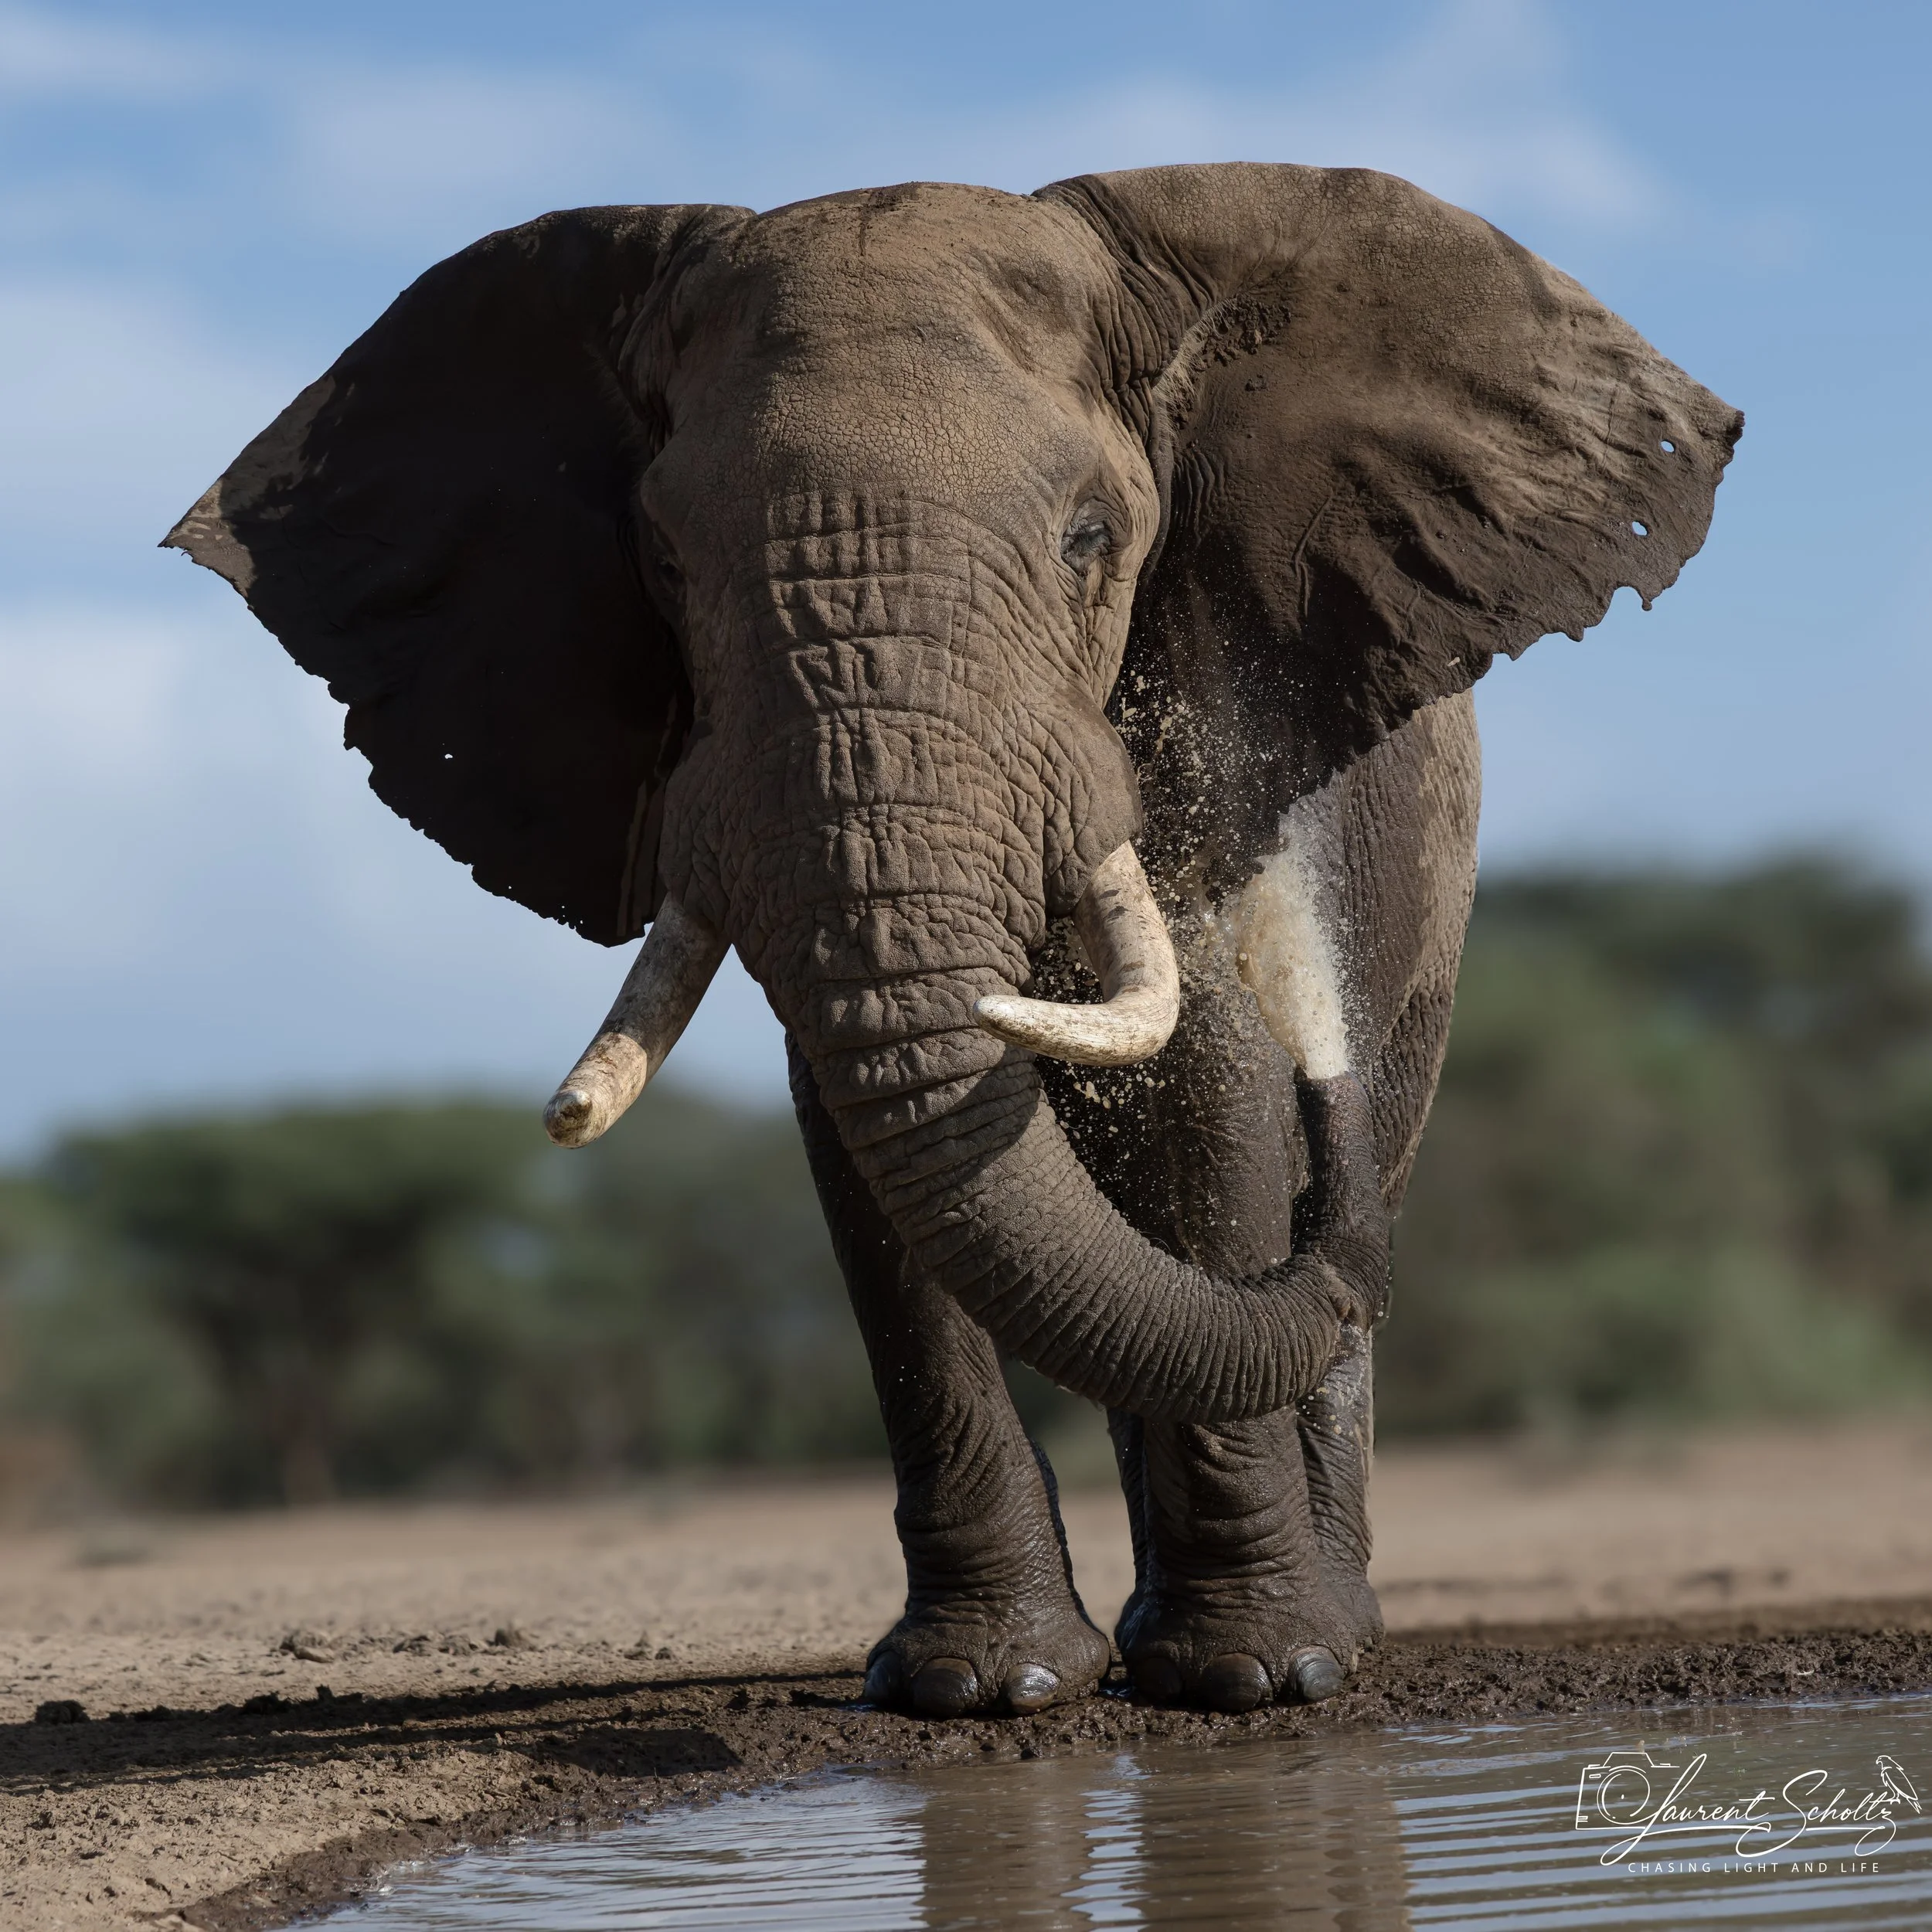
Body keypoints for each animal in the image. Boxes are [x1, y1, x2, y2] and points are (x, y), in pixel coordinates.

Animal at [167, 163, 1739, 1718]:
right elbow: (874, 1141)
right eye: (664, 559)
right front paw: (985, 1687)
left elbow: (1208, 1082)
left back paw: (1331, 1628)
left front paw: (1251, 1677)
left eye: (1090, 540)